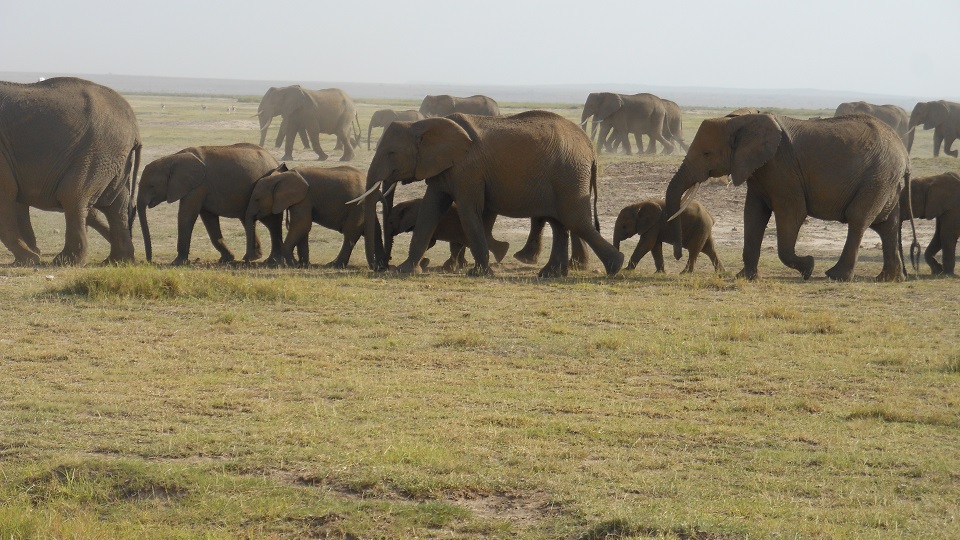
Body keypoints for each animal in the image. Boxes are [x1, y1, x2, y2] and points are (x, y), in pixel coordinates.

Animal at [0, 77, 142, 266]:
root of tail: (135, 129)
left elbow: (7, 194)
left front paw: (30, 259)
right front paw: (32, 256)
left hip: (98, 153)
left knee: (73, 197)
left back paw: (65, 261)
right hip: (115, 160)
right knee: (115, 205)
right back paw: (118, 260)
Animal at [137, 143, 283, 265]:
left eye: (151, 186)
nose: (149, 261)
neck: (173, 158)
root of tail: (275, 161)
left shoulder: (198, 186)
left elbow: (186, 216)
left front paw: (177, 263)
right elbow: (209, 220)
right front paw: (226, 259)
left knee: (271, 222)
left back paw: (269, 260)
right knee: (256, 221)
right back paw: (257, 258)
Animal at [245, 163, 374, 268]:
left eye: (257, 199)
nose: (249, 260)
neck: (280, 177)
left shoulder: (305, 198)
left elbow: (302, 224)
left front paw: (293, 265)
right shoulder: (301, 199)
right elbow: (303, 228)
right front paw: (303, 265)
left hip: (358, 206)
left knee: (350, 233)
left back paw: (334, 265)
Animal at [354, 111, 625, 277]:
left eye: (391, 153)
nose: (381, 265)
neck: (425, 124)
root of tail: (590, 148)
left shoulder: (468, 171)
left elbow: (468, 211)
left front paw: (479, 273)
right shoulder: (445, 168)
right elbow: (430, 211)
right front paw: (405, 270)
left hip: (569, 174)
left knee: (574, 220)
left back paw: (615, 265)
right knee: (560, 223)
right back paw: (549, 274)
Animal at [664, 113, 917, 282]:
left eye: (707, 153)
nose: (677, 258)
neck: (741, 120)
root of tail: (905, 156)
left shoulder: (781, 167)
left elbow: (792, 213)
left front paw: (808, 267)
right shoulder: (759, 170)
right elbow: (753, 214)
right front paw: (745, 277)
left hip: (878, 176)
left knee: (858, 219)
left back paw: (836, 276)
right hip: (885, 180)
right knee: (887, 224)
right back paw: (890, 279)